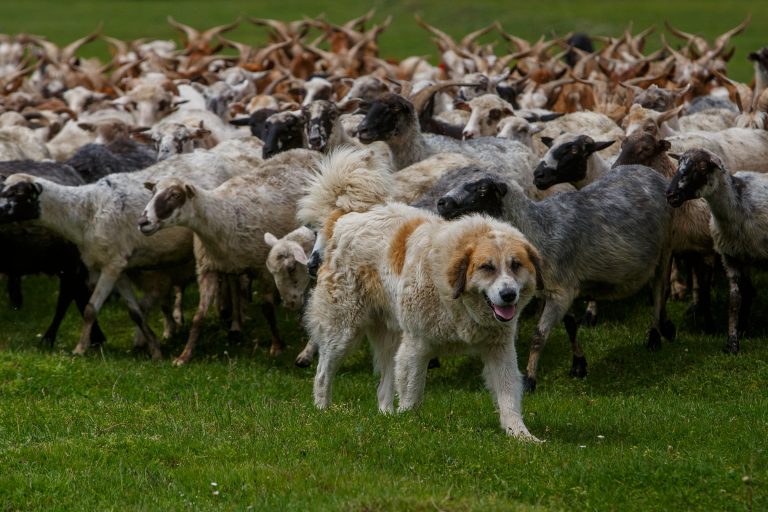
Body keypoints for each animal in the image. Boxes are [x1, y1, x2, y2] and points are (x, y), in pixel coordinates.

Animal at [136, 148, 320, 364]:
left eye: (175, 195)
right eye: (153, 192)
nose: (143, 222)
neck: (220, 216)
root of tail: (305, 151)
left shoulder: (264, 268)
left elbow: (266, 308)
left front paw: (277, 345)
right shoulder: (207, 268)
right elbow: (198, 316)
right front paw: (184, 355)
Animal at [296, 146, 544, 442]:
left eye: (516, 265)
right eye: (487, 267)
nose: (508, 295)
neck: (456, 299)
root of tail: (345, 217)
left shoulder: (500, 349)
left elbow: (508, 397)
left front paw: (521, 436)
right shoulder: (417, 345)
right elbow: (412, 395)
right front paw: (408, 428)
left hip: (391, 336)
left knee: (383, 386)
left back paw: (385, 416)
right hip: (343, 330)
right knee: (324, 372)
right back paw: (323, 411)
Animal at [436, 165, 676, 392]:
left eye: (482, 189)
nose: (441, 203)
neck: (538, 229)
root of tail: (649, 171)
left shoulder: (562, 291)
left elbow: (538, 337)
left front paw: (530, 380)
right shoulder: (559, 290)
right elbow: (570, 326)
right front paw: (579, 365)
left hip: (666, 247)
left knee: (659, 290)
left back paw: (655, 336)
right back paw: (666, 327)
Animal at [664, 150, 768, 354]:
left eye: (703, 167)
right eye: (678, 164)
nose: (671, 195)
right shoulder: (732, 256)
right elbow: (735, 298)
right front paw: (733, 341)